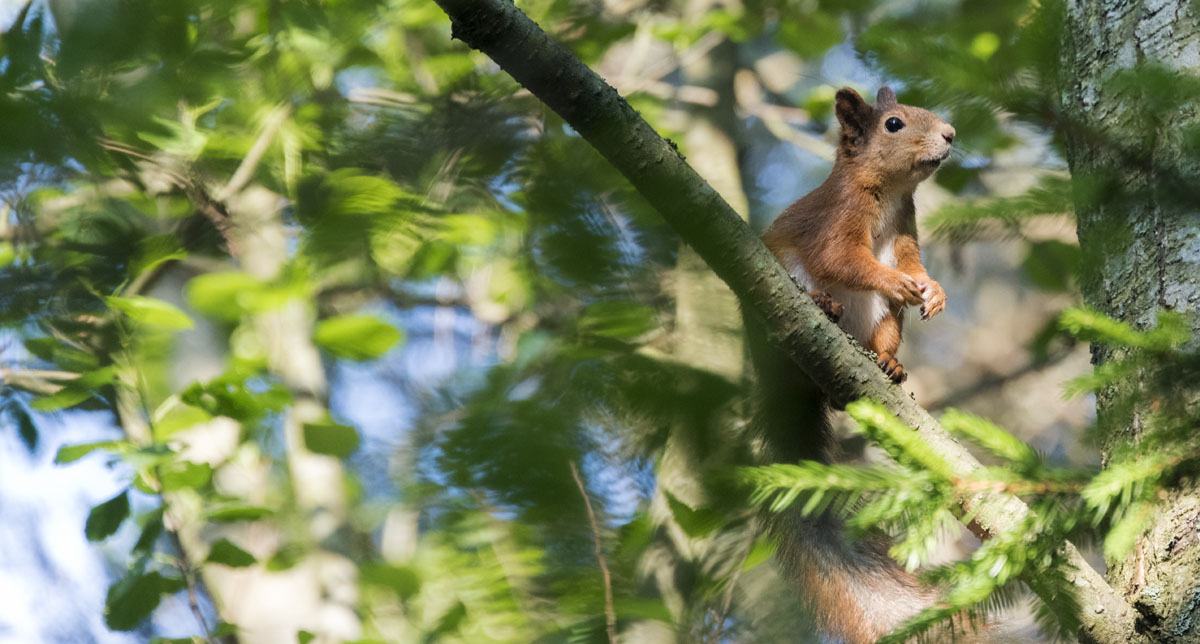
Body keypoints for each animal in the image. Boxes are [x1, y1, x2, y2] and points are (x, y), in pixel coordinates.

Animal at [748, 86, 955, 642]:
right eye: (893, 124)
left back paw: (888, 365)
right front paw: (895, 281)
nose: (950, 134)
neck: (888, 190)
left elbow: (914, 264)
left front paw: (932, 291)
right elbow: (842, 258)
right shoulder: (837, 219)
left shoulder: (906, 230)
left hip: (884, 322)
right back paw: (823, 305)